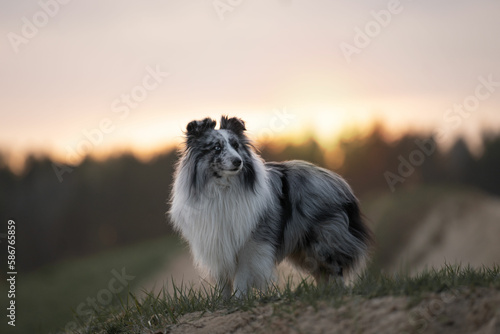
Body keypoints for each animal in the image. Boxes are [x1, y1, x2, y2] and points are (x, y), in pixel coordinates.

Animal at [170, 117, 374, 298]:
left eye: (236, 146)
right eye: (216, 147)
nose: (238, 161)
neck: (222, 189)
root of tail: (341, 183)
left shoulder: (250, 245)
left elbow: (241, 278)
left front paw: (239, 300)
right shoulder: (216, 245)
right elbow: (223, 283)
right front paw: (224, 304)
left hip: (322, 241)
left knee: (334, 269)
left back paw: (337, 293)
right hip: (303, 249)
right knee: (322, 274)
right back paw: (323, 294)